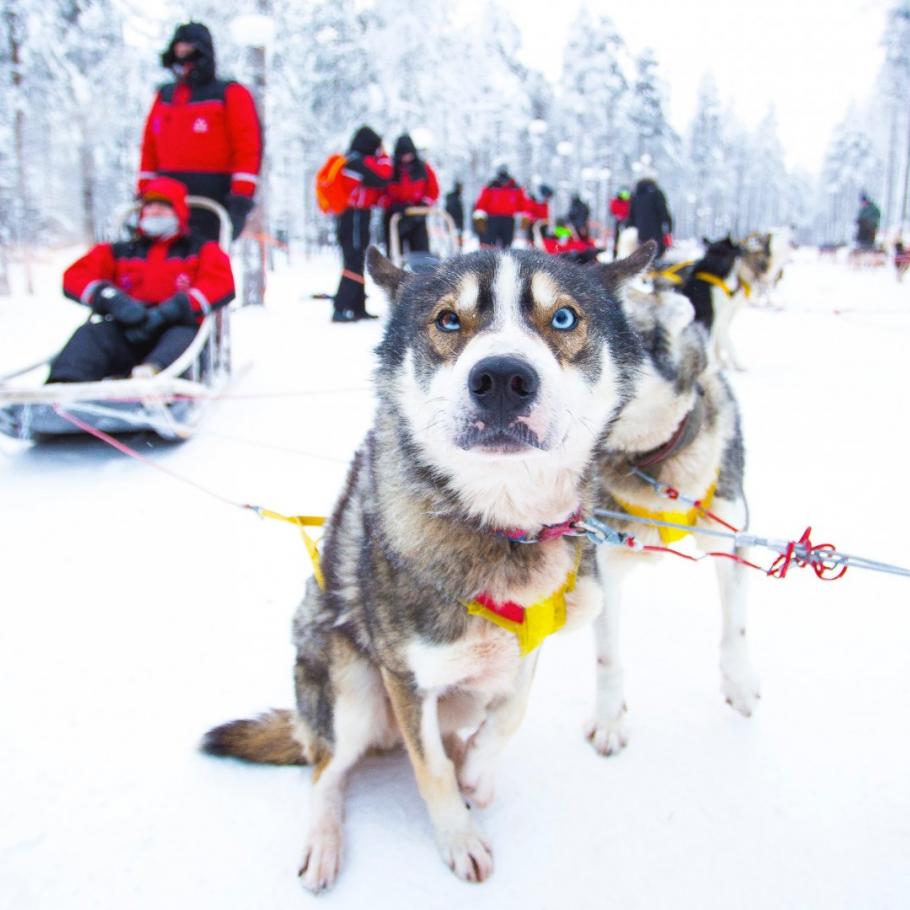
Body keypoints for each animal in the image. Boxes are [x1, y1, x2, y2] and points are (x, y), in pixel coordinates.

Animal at [202, 240, 656, 892]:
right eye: (447, 320)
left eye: (565, 317)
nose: (502, 379)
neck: (499, 525)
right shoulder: (406, 678)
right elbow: (431, 769)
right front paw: (458, 837)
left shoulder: (525, 647)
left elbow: (511, 711)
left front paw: (480, 771)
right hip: (351, 687)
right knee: (325, 769)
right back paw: (323, 839)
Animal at [584, 290, 764, 756]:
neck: (653, 467)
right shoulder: (601, 564)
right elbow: (607, 656)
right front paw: (609, 719)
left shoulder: (730, 538)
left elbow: (736, 625)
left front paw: (740, 683)